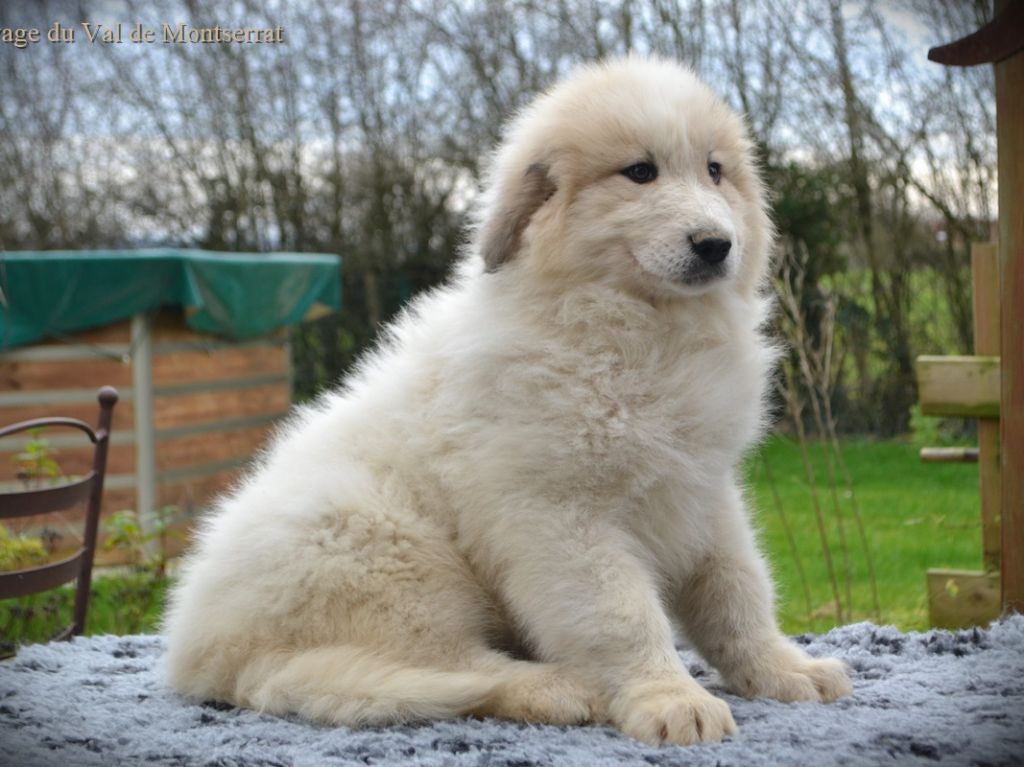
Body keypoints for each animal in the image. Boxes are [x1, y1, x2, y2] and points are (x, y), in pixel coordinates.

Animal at [165, 58, 847, 741]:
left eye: (714, 171)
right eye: (640, 172)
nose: (715, 244)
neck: (634, 327)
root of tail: (205, 660)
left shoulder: (703, 493)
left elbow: (737, 592)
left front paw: (783, 669)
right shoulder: (560, 515)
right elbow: (623, 614)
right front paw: (670, 698)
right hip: (387, 548)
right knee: (449, 665)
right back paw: (553, 689)